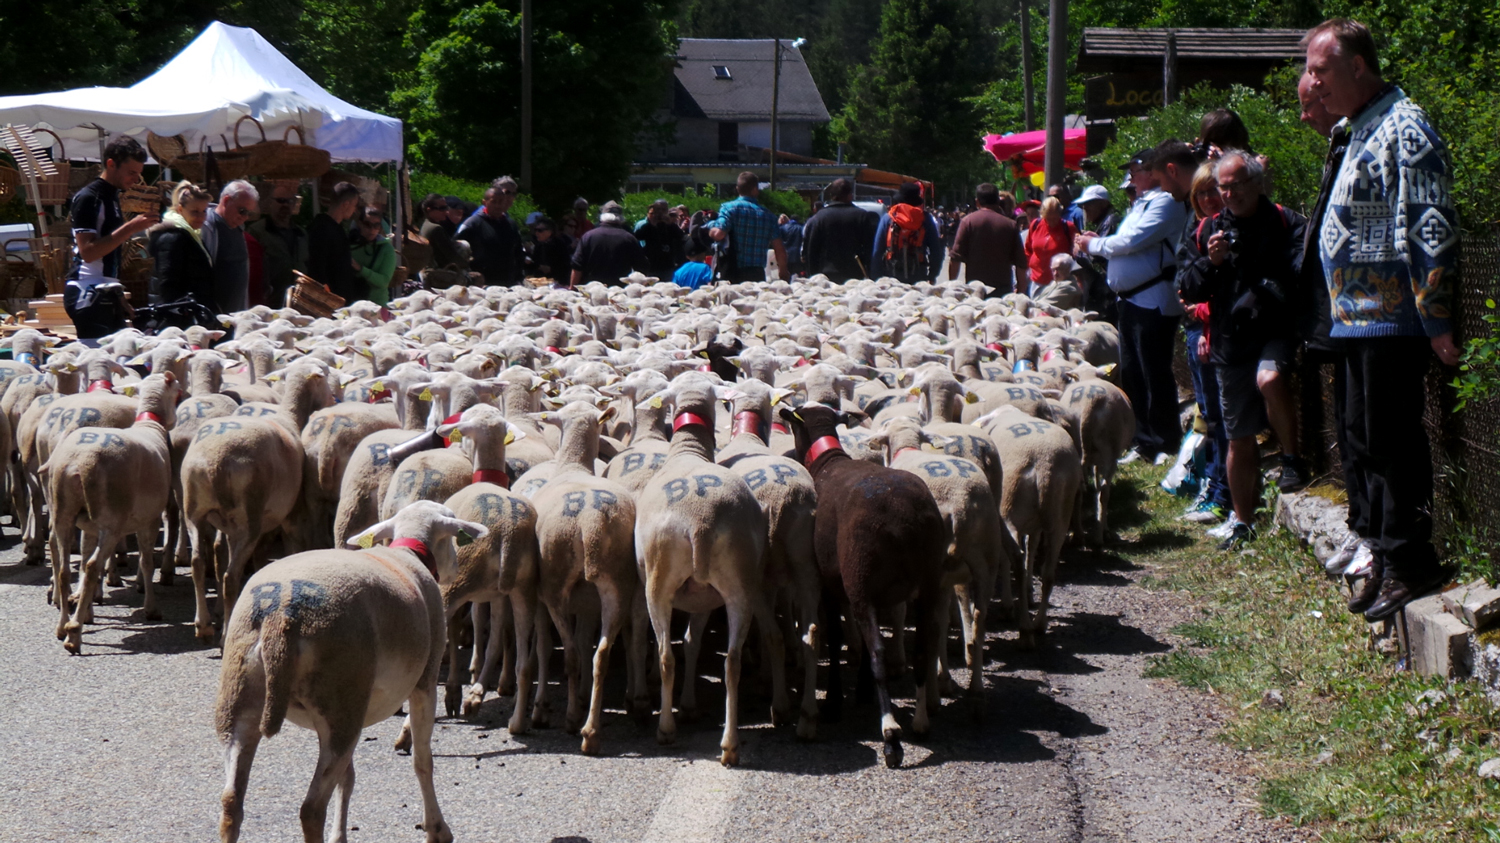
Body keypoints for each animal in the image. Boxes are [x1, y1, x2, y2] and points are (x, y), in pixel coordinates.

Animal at [40, 370, 183, 654]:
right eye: (179, 394)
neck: (150, 427)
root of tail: (78, 463)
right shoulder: (149, 520)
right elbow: (146, 563)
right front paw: (151, 608)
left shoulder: (88, 527)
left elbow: (83, 559)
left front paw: (86, 610)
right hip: (112, 522)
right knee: (93, 565)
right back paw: (74, 635)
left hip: (64, 513)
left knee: (64, 568)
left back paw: (63, 626)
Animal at [211, 498, 477, 840]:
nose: (456, 568)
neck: (407, 554)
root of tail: (280, 615)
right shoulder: (425, 683)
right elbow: (422, 762)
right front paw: (437, 829)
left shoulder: (353, 715)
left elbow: (347, 778)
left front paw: (341, 835)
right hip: (340, 701)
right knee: (310, 810)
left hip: (242, 700)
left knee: (231, 802)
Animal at [636, 370, 792, 765]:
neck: (688, 451)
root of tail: (701, 522)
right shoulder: (703, 598)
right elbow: (693, 643)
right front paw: (690, 705)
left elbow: (687, 646)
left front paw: (686, 707)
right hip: (738, 588)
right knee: (732, 662)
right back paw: (730, 745)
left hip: (658, 585)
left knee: (666, 656)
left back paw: (666, 729)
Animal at [780, 405, 942, 765]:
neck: (828, 461)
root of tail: (907, 519)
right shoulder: (872, 594)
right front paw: (864, 691)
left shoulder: (834, 586)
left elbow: (838, 639)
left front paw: (834, 702)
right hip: (925, 584)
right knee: (922, 648)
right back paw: (922, 722)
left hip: (860, 577)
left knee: (880, 653)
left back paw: (891, 737)